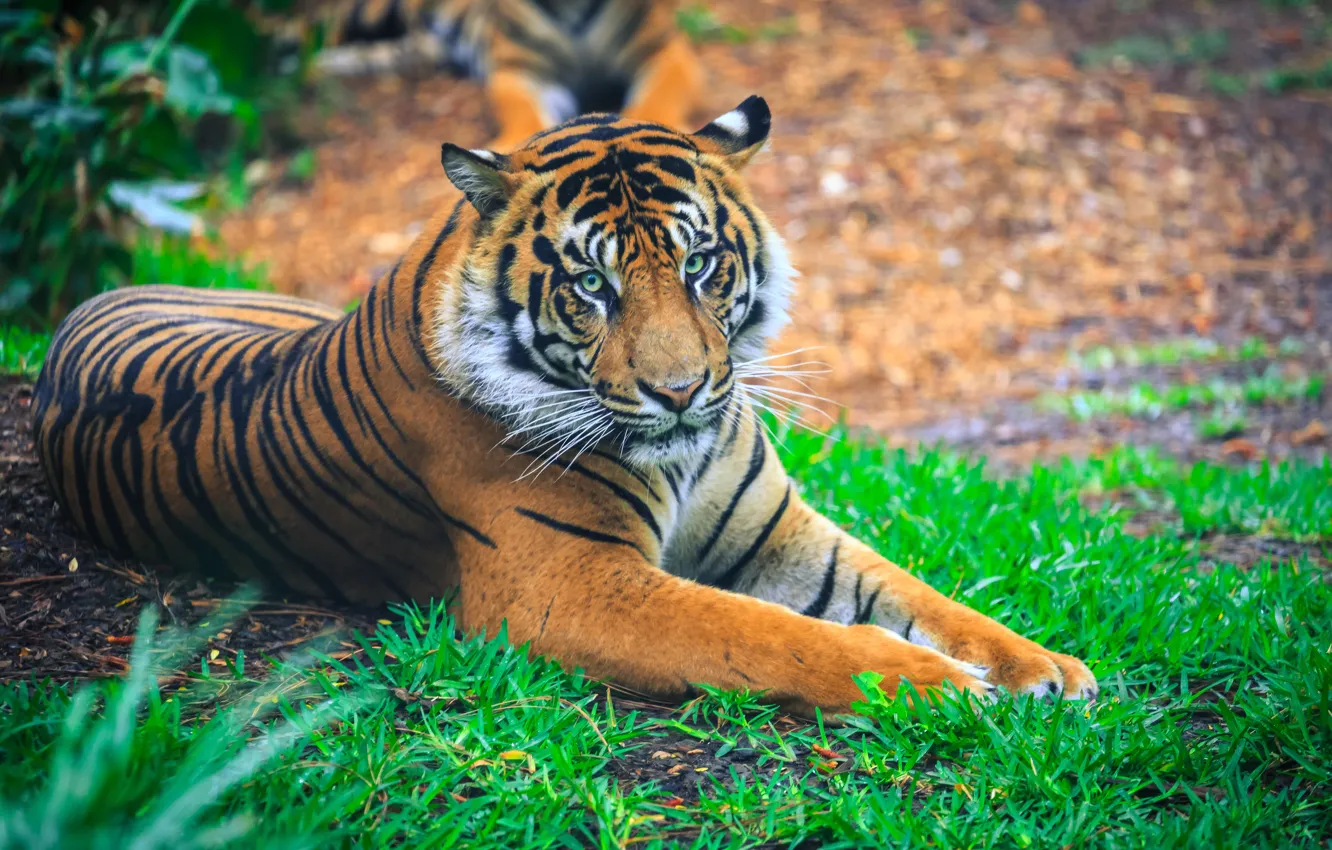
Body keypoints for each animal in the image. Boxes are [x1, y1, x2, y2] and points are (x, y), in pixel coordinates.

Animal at [33, 97, 1098, 716]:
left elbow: (917, 594)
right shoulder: (569, 585)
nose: (681, 391)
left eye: (701, 265)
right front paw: (938, 686)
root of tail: (100, 294)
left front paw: (1041, 666)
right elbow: (769, 635)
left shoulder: (779, 535)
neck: (686, 454)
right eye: (593, 285)